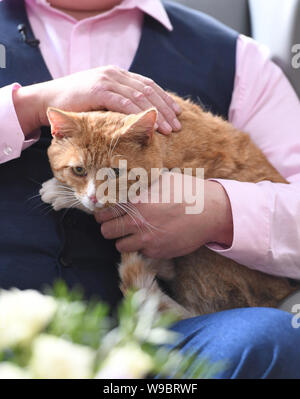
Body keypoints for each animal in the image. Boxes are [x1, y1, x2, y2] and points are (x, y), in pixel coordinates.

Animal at [40, 93, 298, 318]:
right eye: (79, 170)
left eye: (116, 172)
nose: (94, 197)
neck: (166, 144)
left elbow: (113, 204)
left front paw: (59, 193)